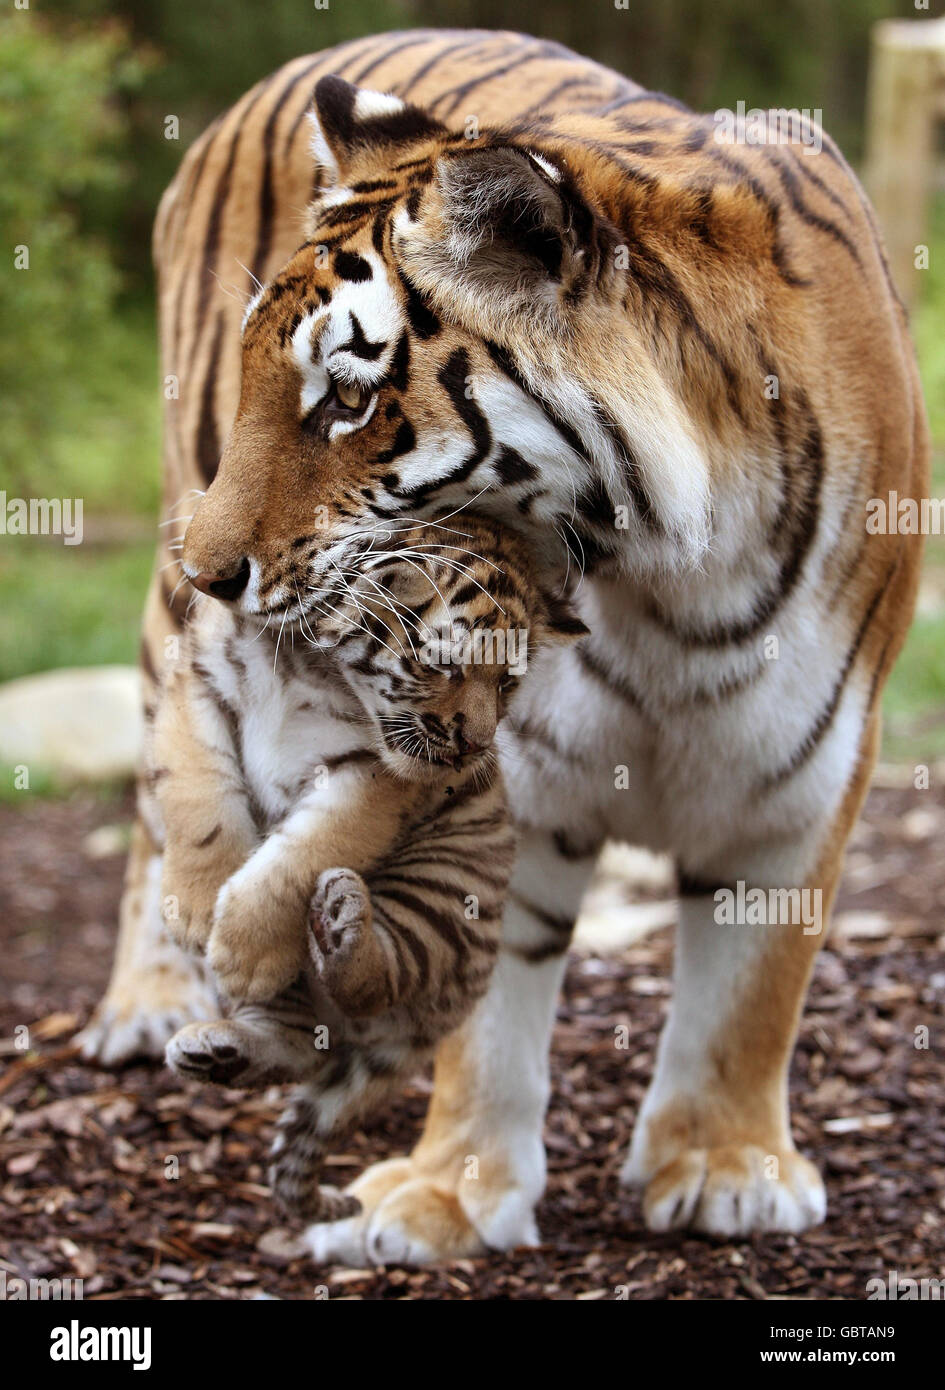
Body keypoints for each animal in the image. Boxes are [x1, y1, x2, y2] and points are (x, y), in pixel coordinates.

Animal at [77, 27, 928, 1262]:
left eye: (346, 401)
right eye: (259, 386)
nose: (211, 570)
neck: (671, 584)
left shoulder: (804, 775)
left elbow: (753, 992)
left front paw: (724, 1167)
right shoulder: (502, 774)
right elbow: (484, 1012)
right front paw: (451, 1193)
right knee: (159, 789)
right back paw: (152, 1000)